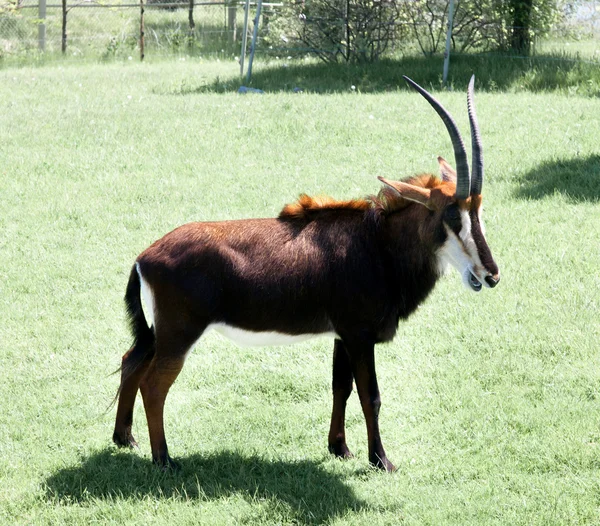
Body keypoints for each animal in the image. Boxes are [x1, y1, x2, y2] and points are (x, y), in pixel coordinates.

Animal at [111, 75, 496, 474]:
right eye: (452, 215)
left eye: (479, 210)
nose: (490, 275)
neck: (377, 244)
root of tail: (144, 257)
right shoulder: (360, 336)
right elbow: (370, 396)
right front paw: (381, 460)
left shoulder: (343, 336)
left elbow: (341, 387)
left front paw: (339, 448)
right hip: (179, 334)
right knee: (154, 384)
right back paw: (164, 459)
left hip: (157, 333)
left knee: (130, 362)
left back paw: (125, 439)